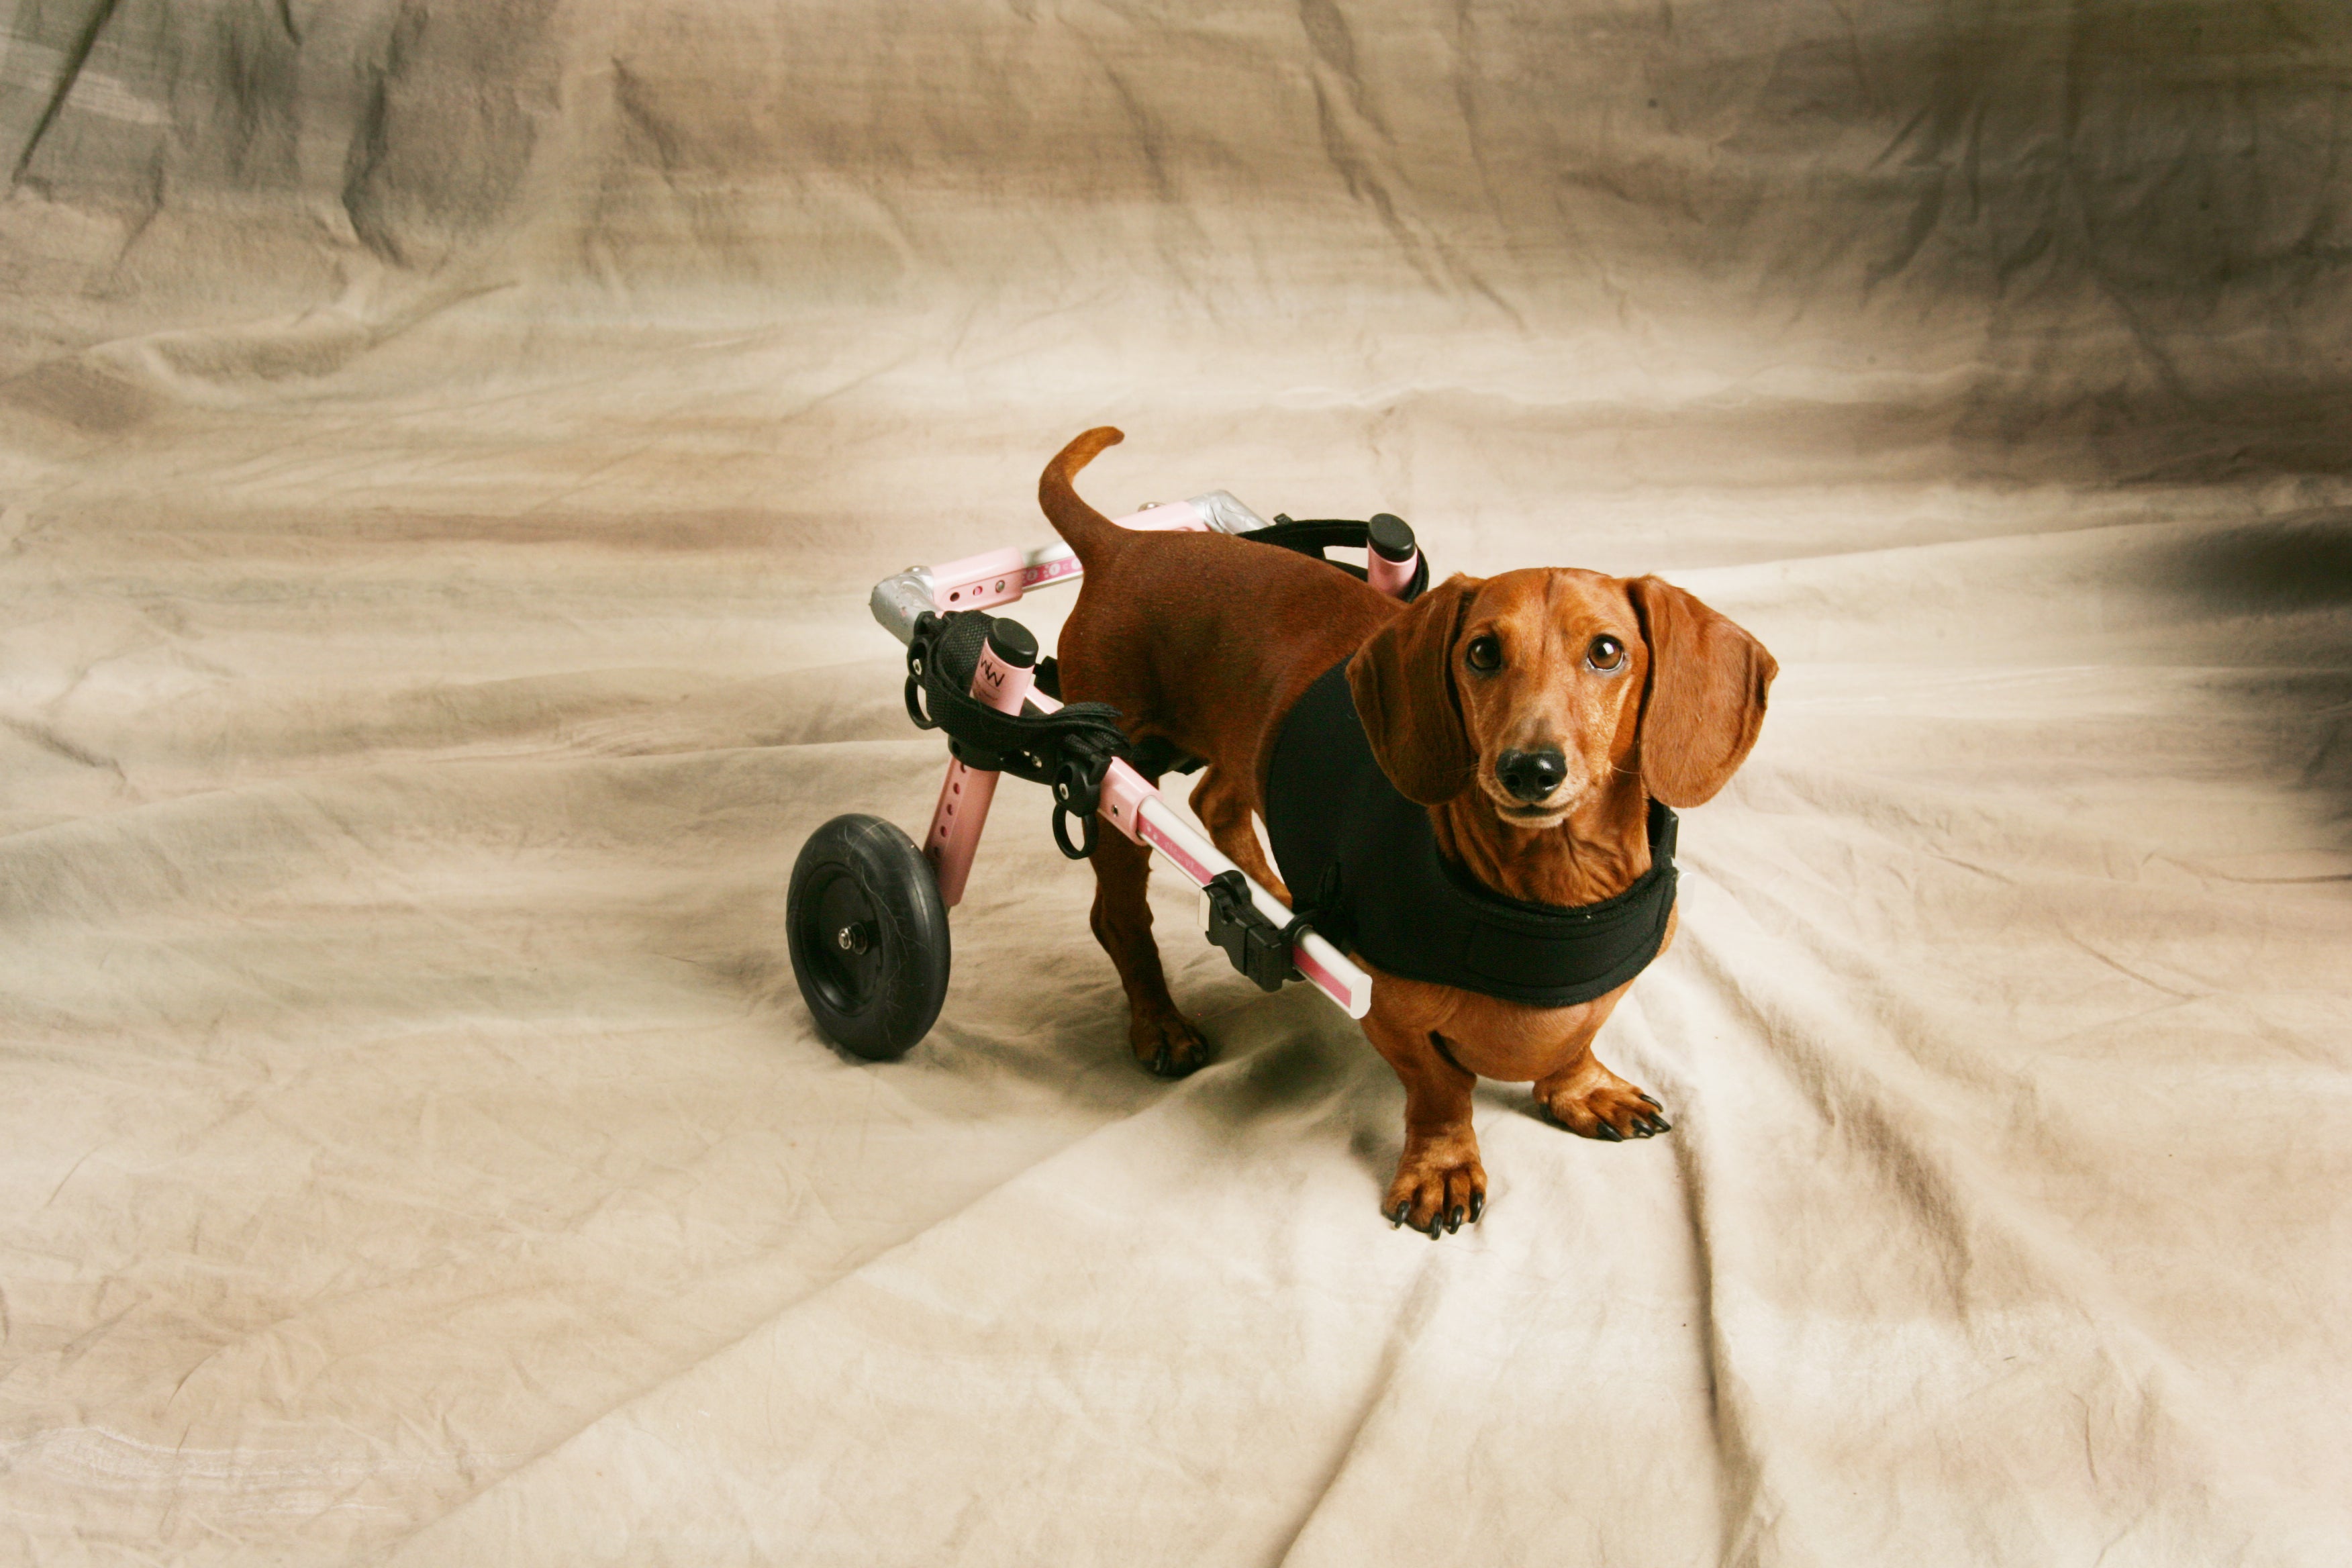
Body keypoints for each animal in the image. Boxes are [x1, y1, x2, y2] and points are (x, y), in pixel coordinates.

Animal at [1039, 430, 1769, 1241]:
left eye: (1607, 652)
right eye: (1481, 652)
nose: (1530, 769)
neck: (1553, 889)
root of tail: (1124, 543)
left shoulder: (1613, 978)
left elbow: (1578, 1037)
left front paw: (1580, 1088)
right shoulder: (1387, 1011)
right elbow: (1442, 1087)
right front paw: (1443, 1165)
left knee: (1216, 800)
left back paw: (1274, 889)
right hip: (1112, 772)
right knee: (1120, 915)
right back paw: (1160, 1024)